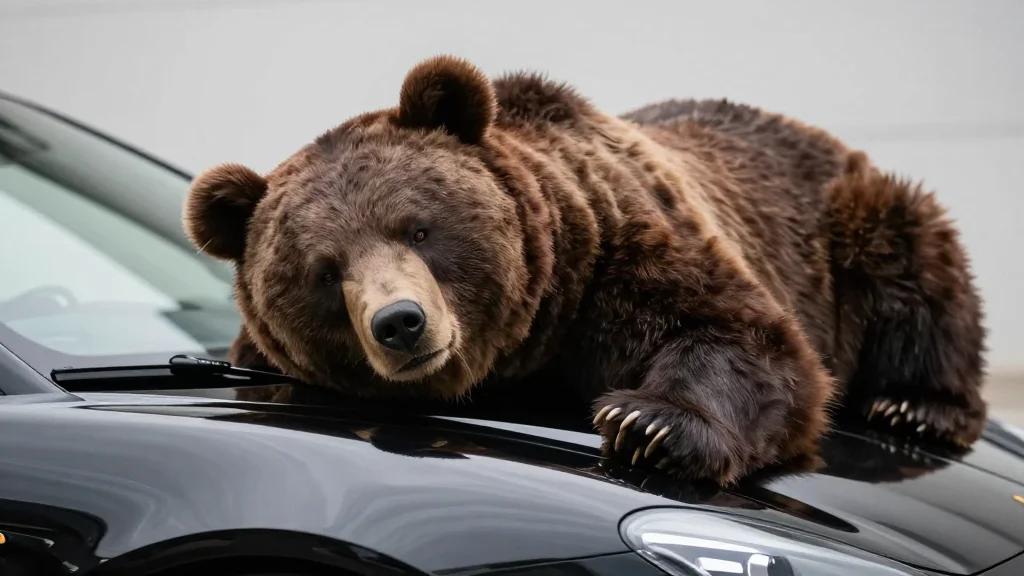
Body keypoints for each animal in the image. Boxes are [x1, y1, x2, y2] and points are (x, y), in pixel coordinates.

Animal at [184, 55, 986, 484]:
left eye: (418, 227)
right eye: (326, 270)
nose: (402, 323)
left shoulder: (618, 250)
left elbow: (745, 337)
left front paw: (646, 422)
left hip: (846, 223)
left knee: (914, 262)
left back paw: (915, 404)